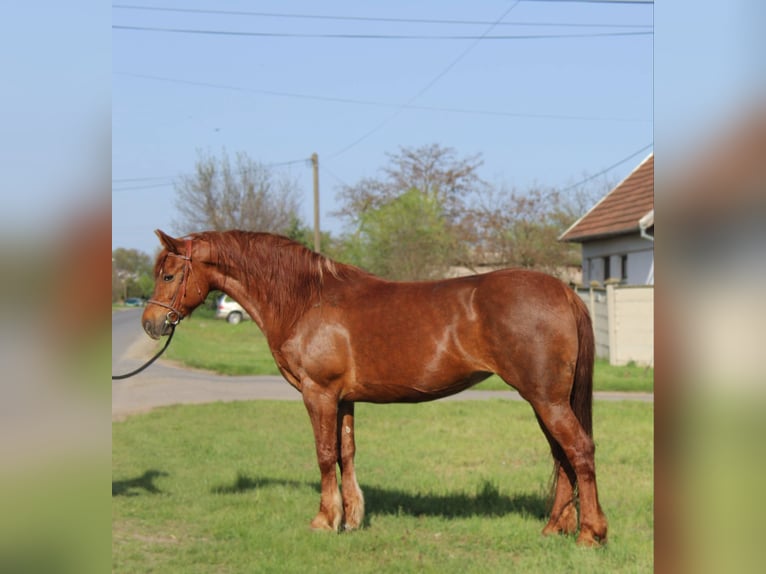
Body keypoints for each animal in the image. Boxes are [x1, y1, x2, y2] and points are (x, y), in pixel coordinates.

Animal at [141, 229, 608, 546]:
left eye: (169, 274)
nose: (151, 323)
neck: (305, 300)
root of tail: (564, 291)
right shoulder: (344, 399)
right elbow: (346, 453)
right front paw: (351, 519)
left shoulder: (319, 393)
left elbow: (324, 454)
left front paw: (323, 521)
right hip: (545, 399)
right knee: (562, 455)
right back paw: (554, 528)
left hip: (546, 399)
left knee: (579, 451)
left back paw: (591, 534)